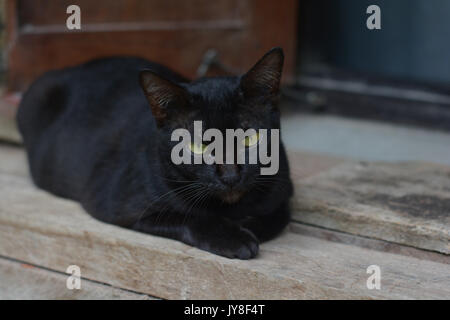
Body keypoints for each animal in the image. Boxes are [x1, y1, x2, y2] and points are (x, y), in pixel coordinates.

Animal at [16, 48, 292, 260]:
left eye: (250, 139)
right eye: (198, 147)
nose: (231, 176)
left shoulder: (282, 194)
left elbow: (274, 218)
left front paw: (246, 225)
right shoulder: (122, 205)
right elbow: (189, 217)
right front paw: (233, 239)